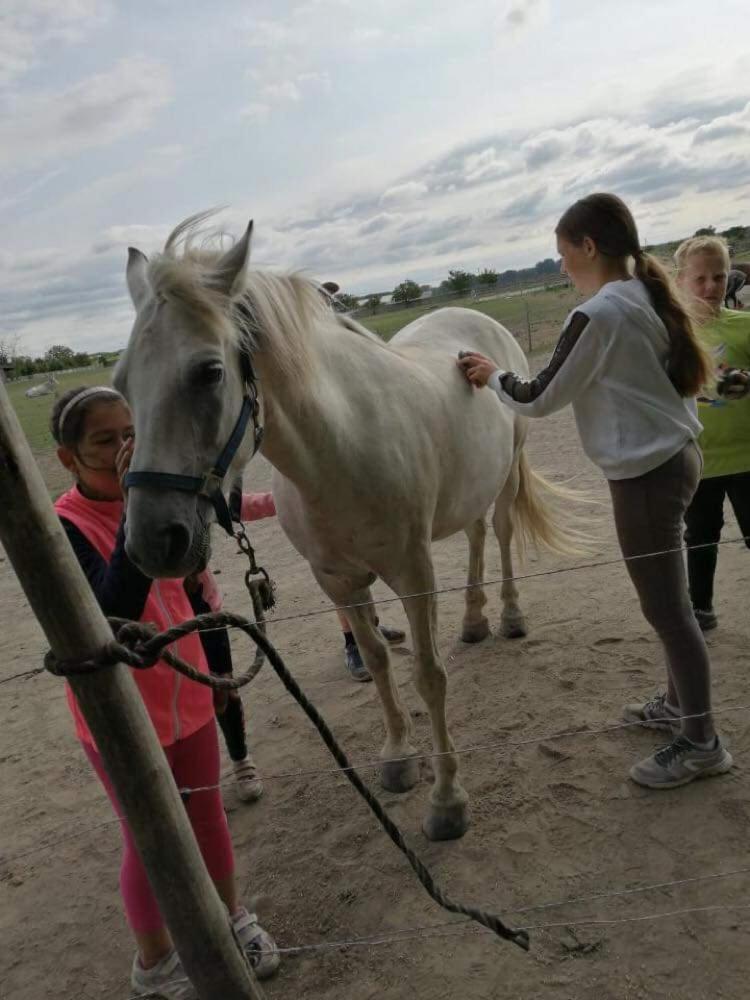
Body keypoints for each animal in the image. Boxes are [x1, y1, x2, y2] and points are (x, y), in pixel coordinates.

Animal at [114, 215, 584, 840]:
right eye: (122, 382)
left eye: (209, 372)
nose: (152, 541)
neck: (338, 447)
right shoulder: (338, 580)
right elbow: (380, 660)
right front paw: (398, 758)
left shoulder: (412, 574)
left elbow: (428, 676)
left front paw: (447, 800)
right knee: (477, 536)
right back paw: (474, 620)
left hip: (508, 472)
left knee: (503, 534)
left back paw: (507, 616)